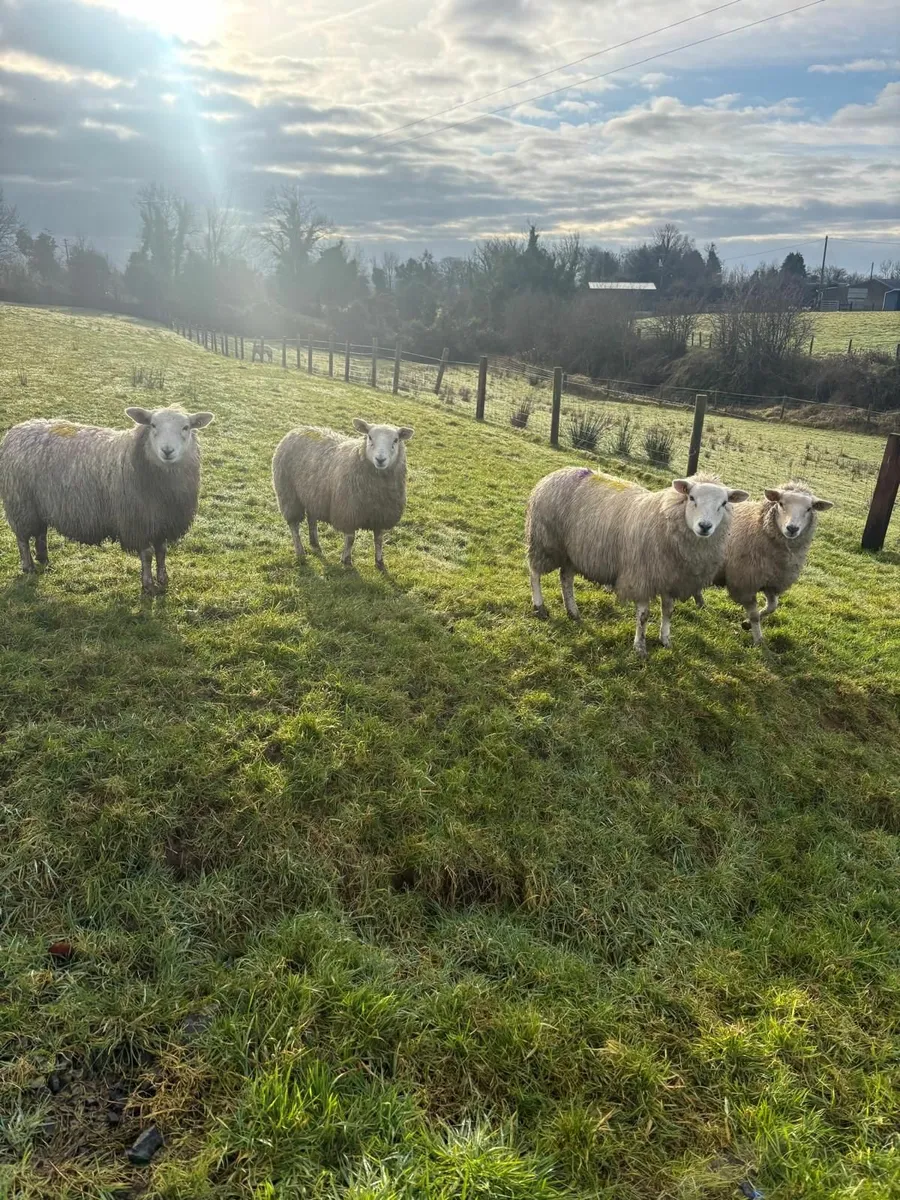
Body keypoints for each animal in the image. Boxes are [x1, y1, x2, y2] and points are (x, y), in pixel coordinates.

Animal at [0, 406, 214, 593]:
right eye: (153, 425)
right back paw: (28, 566)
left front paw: (163, 580)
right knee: (23, 538)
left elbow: (162, 552)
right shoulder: (138, 522)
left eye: (186, 427)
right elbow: (147, 555)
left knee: (40, 533)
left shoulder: (162, 522)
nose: (167, 451)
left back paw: (43, 558)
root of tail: (17, 429)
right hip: (20, 503)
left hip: (39, 505)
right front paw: (148, 586)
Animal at [272, 418, 413, 571]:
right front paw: (346, 561)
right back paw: (300, 552)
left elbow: (379, 540)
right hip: (288, 493)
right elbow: (350, 538)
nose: (380, 459)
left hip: (313, 494)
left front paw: (380, 562)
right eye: (369, 437)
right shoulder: (348, 512)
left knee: (312, 519)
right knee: (294, 525)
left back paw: (315, 544)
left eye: (396, 440)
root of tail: (296, 429)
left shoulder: (381, 515)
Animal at [525, 468, 748, 655]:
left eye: (724, 504)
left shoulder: (671, 579)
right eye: (691, 497)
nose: (705, 526)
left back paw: (573, 611)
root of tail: (555, 473)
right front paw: (640, 647)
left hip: (571, 552)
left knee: (566, 579)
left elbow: (668, 611)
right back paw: (539, 607)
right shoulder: (641, 576)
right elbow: (643, 615)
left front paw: (665, 639)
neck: (664, 520)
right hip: (544, 539)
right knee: (534, 572)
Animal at [693, 479, 833, 643]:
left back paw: (701, 604)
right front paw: (758, 640)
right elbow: (754, 615)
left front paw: (747, 624)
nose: (792, 528)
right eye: (781, 503)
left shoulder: (771, 582)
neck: (759, 525)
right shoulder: (746, 582)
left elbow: (772, 607)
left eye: (809, 508)